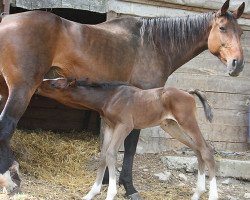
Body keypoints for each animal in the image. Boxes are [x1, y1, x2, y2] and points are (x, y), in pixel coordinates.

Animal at [36, 78, 217, 200]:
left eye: (54, 84)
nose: (39, 83)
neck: (109, 98)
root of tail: (188, 92)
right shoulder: (110, 126)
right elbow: (103, 155)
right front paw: (91, 194)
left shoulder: (124, 126)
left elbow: (111, 154)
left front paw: (111, 194)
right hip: (171, 126)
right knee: (198, 150)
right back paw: (197, 194)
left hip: (187, 122)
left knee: (206, 150)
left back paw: (212, 195)